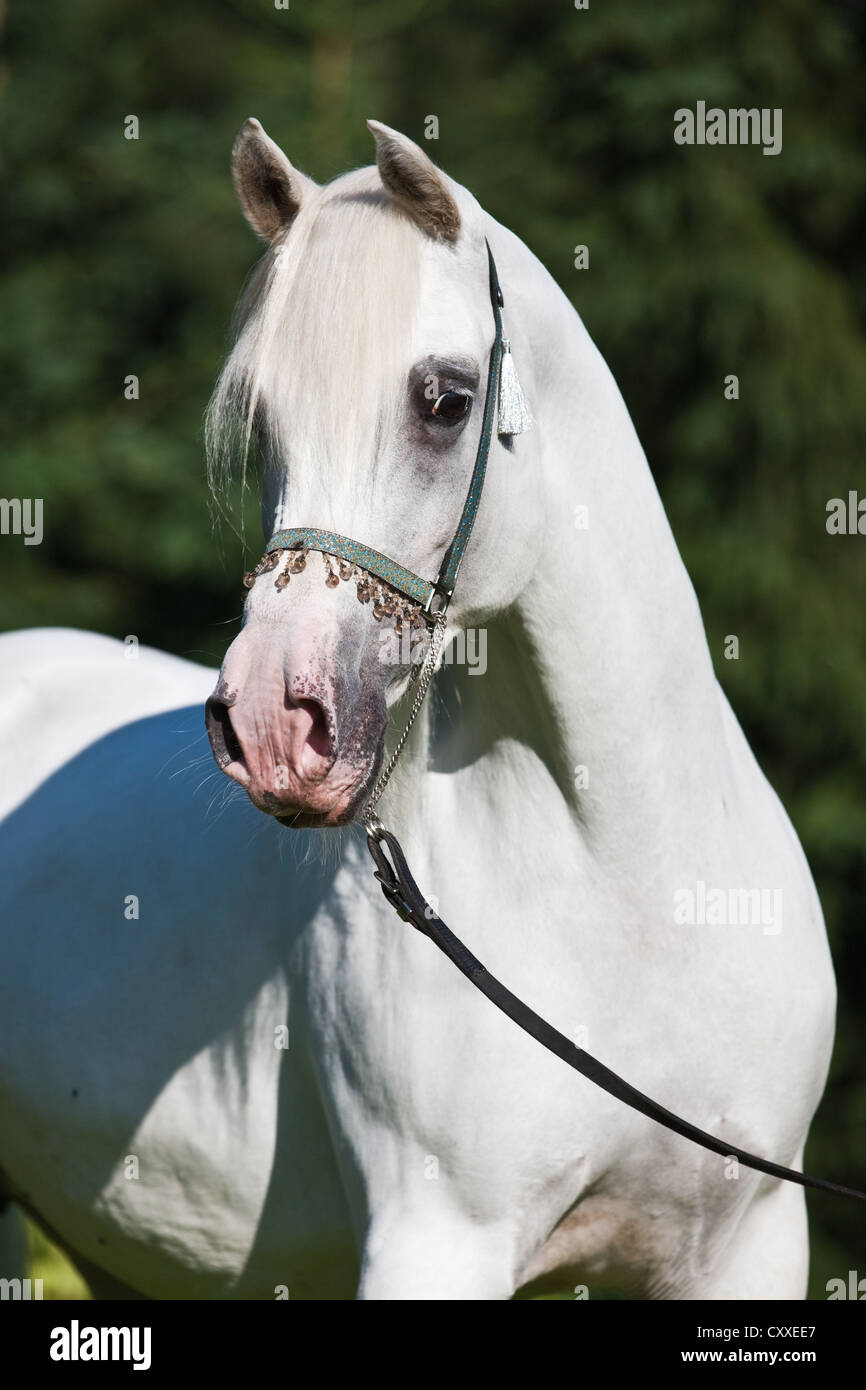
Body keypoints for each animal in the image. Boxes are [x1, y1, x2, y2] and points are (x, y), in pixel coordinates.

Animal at [1, 122, 839, 1301]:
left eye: (443, 398)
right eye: (262, 422)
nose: (272, 725)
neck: (630, 895)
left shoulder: (748, 1242)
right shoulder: (436, 1237)